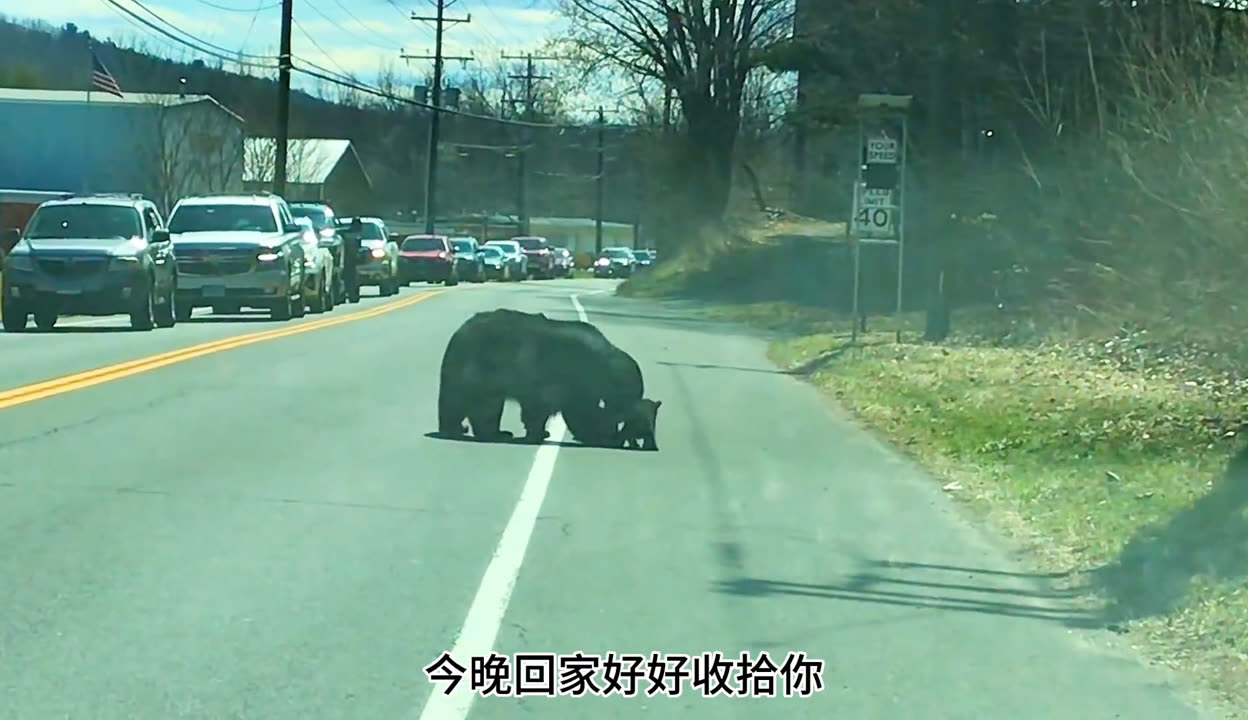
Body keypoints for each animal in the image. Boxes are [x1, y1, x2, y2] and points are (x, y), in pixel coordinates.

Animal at [436, 305, 643, 441]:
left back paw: (493, 432)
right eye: (631, 398)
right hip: (475, 366)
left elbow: (576, 408)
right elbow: (547, 404)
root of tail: (457, 333)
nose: (621, 430)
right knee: (463, 401)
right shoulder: (566, 371)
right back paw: (459, 429)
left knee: (487, 406)